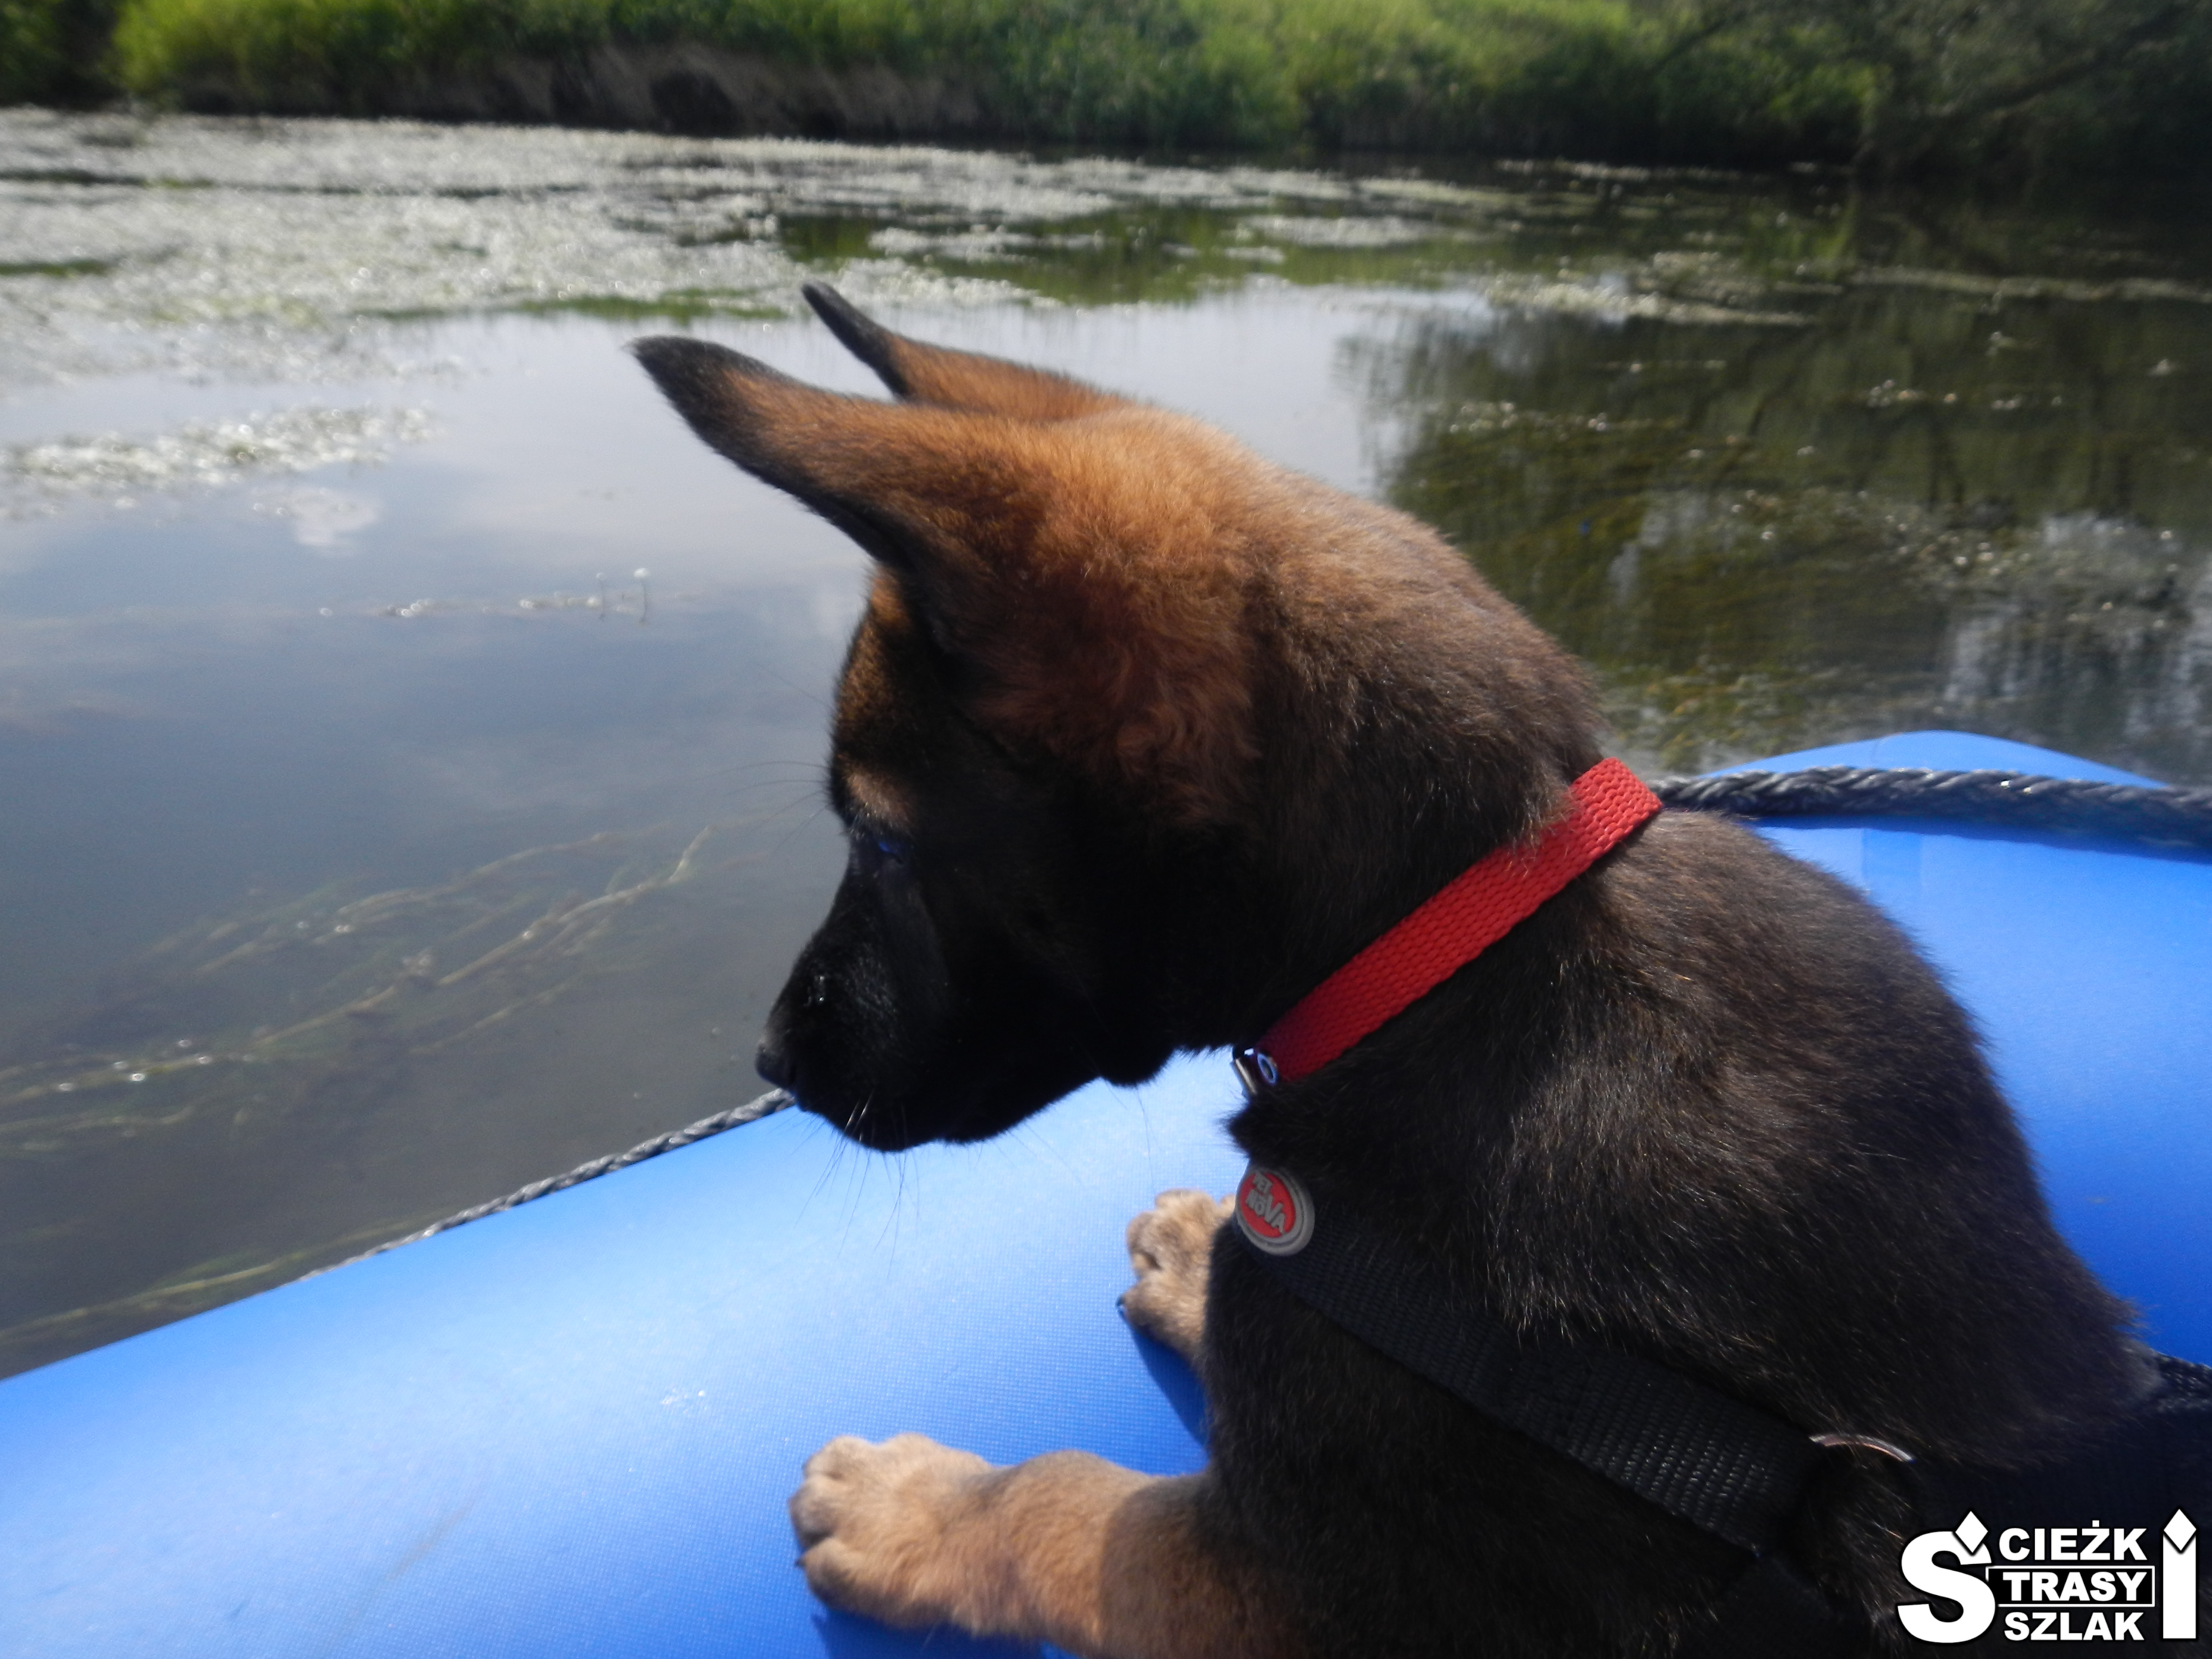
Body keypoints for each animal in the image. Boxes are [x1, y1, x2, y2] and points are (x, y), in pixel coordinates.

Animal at [637, 299, 2141, 1659]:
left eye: (883, 842)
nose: (770, 1056)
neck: (1459, 941)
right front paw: (1204, 1251)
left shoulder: (1274, 1594)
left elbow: (1067, 1503)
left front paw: (910, 1506)